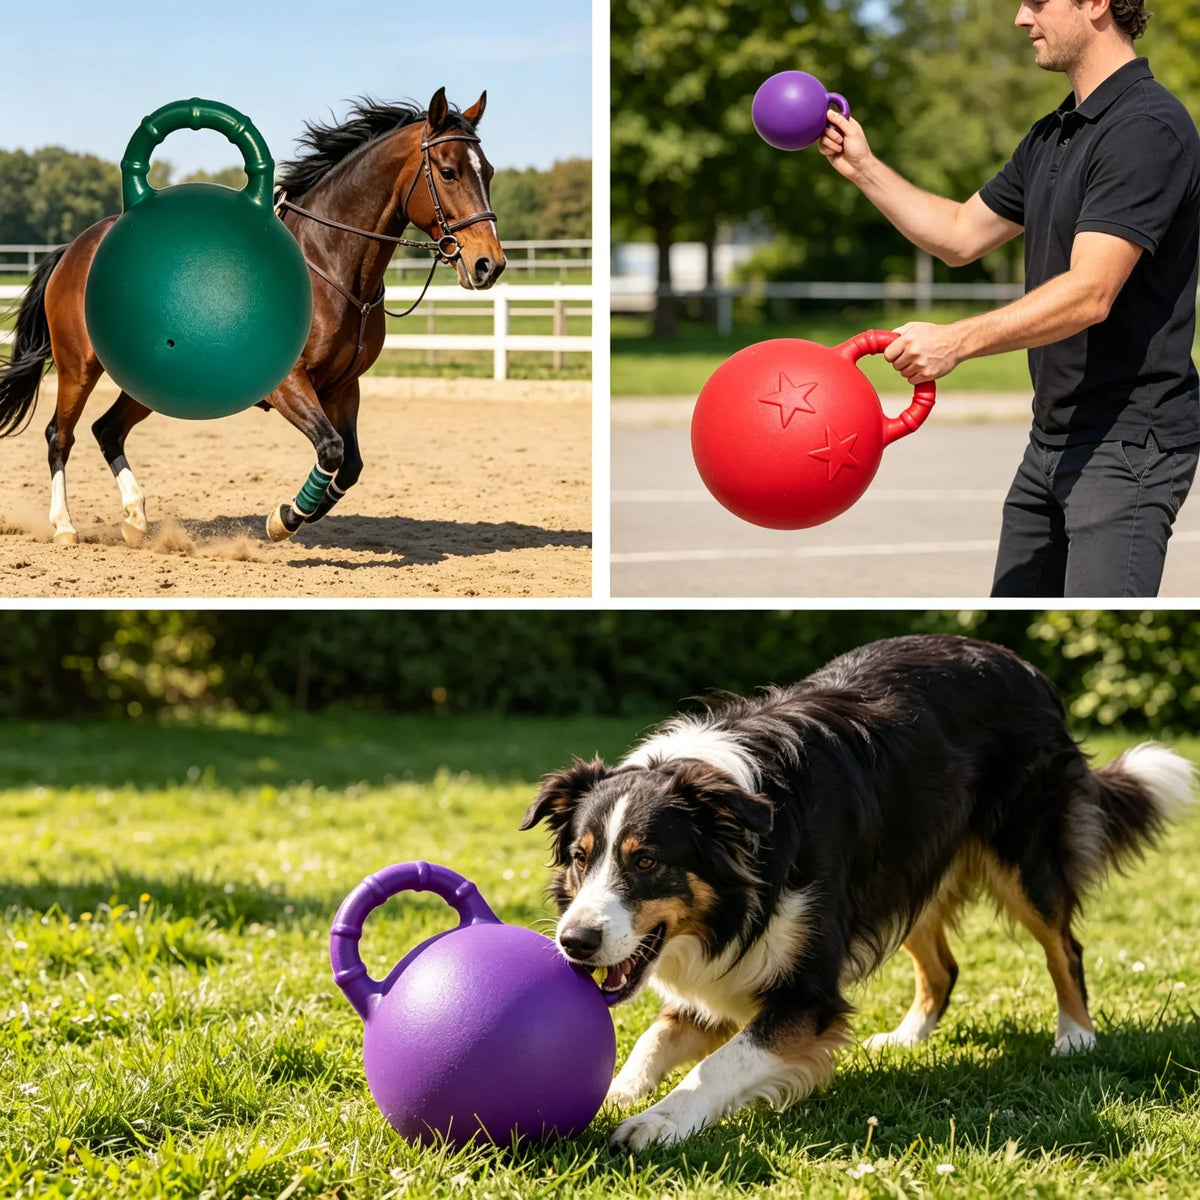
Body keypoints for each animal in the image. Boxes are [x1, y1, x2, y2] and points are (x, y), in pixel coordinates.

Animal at [0, 88, 505, 546]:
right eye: (448, 172)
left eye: (489, 171)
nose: (490, 264)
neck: (330, 260)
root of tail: (75, 248)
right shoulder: (289, 384)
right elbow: (331, 449)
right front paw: (285, 518)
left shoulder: (343, 387)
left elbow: (350, 465)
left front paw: (298, 513)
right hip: (78, 367)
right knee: (59, 435)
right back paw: (65, 526)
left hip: (147, 383)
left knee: (107, 430)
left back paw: (136, 520)